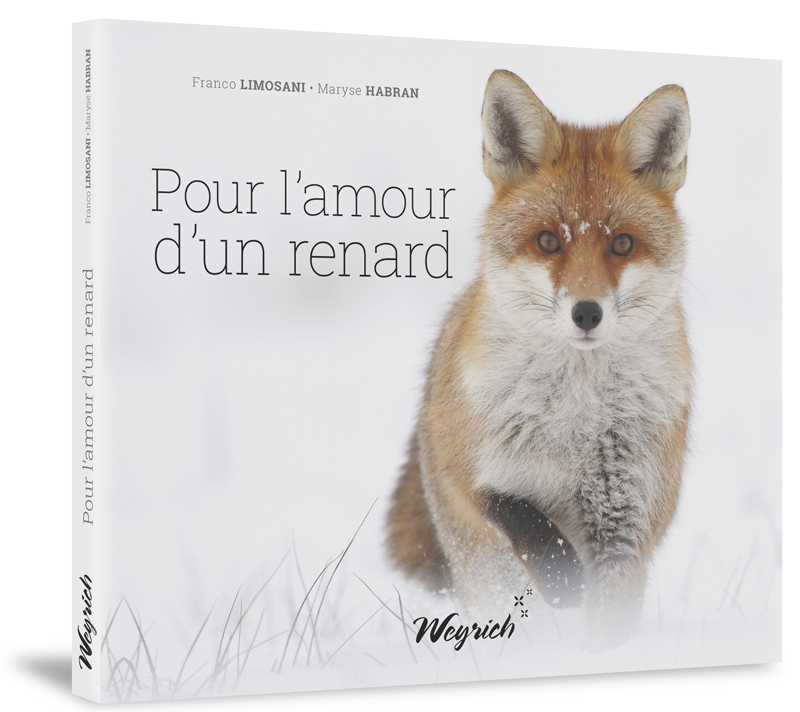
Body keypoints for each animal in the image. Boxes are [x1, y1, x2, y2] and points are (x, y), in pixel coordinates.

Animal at [386, 70, 692, 648]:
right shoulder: (471, 469)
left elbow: (610, 625)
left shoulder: (627, 523)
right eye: (549, 241)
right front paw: (562, 578)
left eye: (622, 245)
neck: (576, 420)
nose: (587, 313)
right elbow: (511, 509)